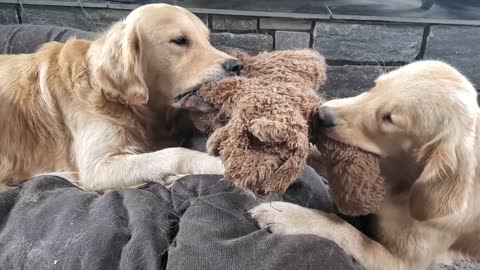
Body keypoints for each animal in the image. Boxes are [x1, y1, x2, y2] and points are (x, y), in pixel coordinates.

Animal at [0, 3, 240, 191]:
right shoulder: (95, 168)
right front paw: (223, 164)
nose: (237, 66)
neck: (118, 100)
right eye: (179, 40)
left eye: (208, 40)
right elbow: (176, 154)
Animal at [251, 61, 480, 270]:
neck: (403, 183)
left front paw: (289, 216)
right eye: (375, 85)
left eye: (390, 119)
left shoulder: (401, 264)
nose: (320, 114)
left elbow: (346, 229)